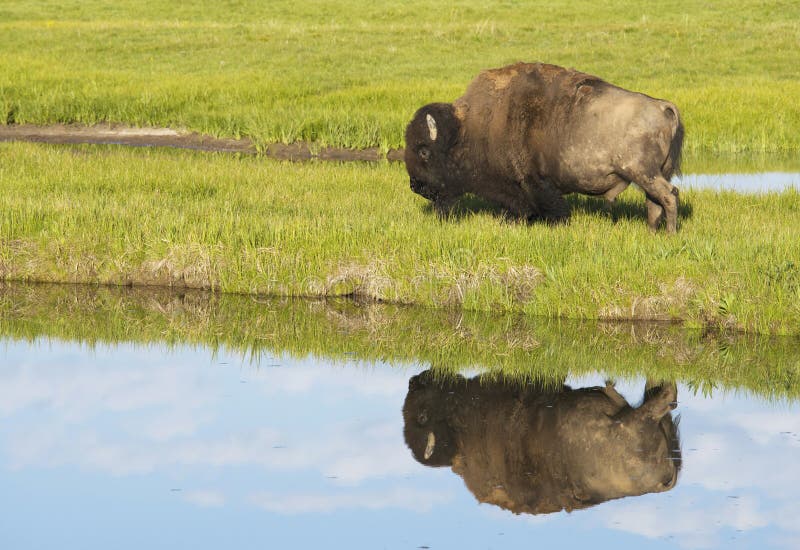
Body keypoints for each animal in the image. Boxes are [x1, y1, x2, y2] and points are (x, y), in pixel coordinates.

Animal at [405, 62, 684, 232]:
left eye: (424, 151)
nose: (415, 186)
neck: (468, 128)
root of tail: (661, 106)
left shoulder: (533, 182)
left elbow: (547, 206)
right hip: (654, 173)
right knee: (655, 201)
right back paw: (652, 231)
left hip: (643, 172)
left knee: (668, 195)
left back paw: (669, 233)